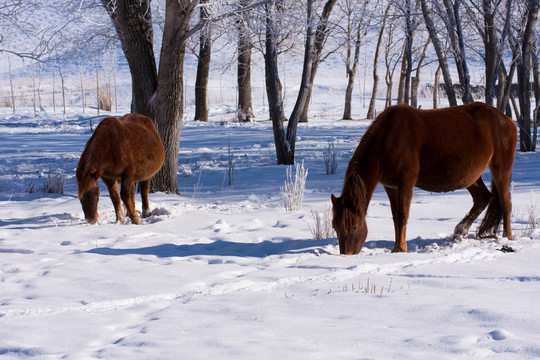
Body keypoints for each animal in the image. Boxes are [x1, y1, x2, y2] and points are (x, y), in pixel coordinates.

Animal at [332, 101, 516, 253]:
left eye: (354, 227)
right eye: (335, 226)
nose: (347, 254)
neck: (387, 141)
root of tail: (507, 119)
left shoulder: (406, 182)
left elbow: (402, 214)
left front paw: (400, 248)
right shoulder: (391, 186)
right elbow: (395, 216)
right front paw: (396, 246)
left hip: (501, 168)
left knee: (505, 202)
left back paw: (508, 238)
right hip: (470, 177)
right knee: (483, 198)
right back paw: (460, 231)